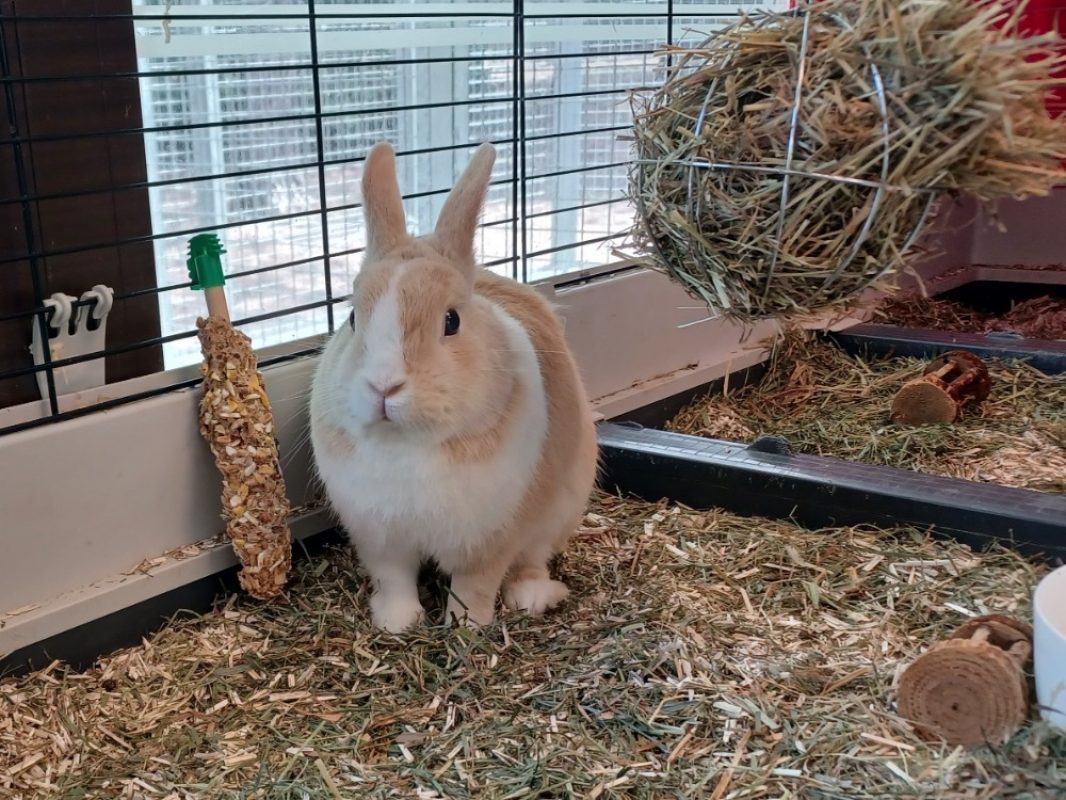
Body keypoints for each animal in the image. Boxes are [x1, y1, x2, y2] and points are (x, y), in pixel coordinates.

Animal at [309, 141, 599, 633]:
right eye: (351, 319)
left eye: (451, 321)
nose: (383, 386)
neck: (405, 443)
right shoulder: (380, 539)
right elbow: (395, 580)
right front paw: (396, 623)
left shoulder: (489, 539)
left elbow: (474, 586)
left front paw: (467, 627)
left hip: (559, 510)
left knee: (532, 560)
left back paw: (532, 597)